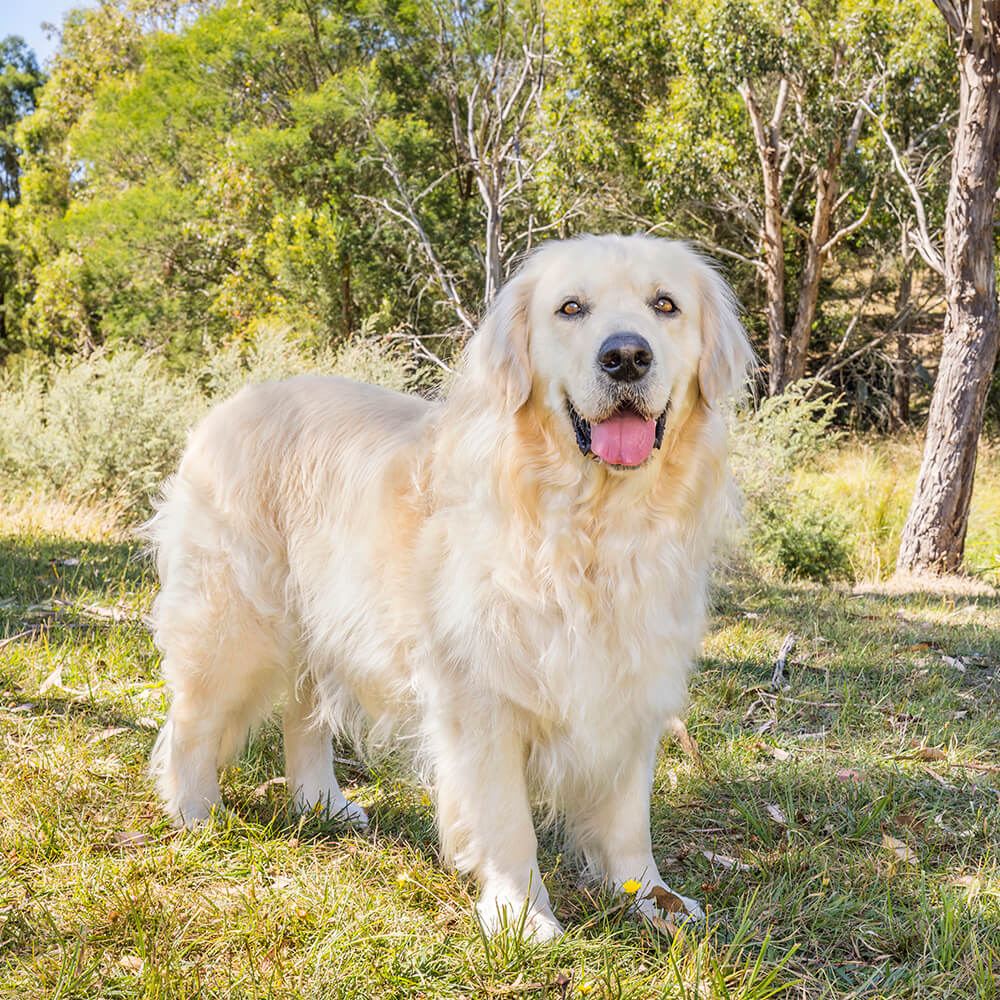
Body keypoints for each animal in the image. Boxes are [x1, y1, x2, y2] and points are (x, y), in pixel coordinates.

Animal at [146, 232, 752, 936]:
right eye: (571, 308)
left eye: (665, 304)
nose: (626, 356)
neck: (592, 528)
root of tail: (228, 407)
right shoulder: (478, 697)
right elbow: (507, 821)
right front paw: (522, 915)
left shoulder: (630, 685)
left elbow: (629, 818)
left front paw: (651, 897)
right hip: (233, 623)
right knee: (190, 722)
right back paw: (196, 813)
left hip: (321, 619)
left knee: (305, 714)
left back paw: (321, 802)